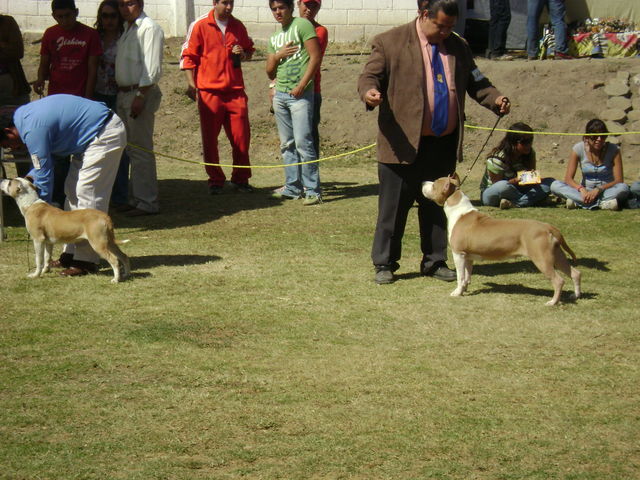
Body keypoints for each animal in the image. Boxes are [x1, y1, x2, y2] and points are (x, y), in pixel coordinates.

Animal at [0, 177, 131, 284]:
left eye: (10, 182)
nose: (2, 180)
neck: (31, 204)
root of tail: (105, 216)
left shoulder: (38, 240)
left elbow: (39, 259)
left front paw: (36, 275)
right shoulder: (48, 242)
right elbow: (47, 258)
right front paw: (45, 271)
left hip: (98, 243)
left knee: (114, 260)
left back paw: (116, 279)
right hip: (109, 242)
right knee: (123, 256)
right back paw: (126, 274)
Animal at [422, 174, 584, 306]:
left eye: (434, 184)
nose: (423, 181)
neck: (458, 210)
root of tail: (548, 227)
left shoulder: (458, 254)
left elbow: (460, 276)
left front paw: (457, 292)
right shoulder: (468, 257)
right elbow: (467, 276)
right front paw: (464, 290)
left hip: (542, 258)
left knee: (558, 281)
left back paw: (553, 302)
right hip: (556, 255)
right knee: (575, 273)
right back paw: (575, 295)